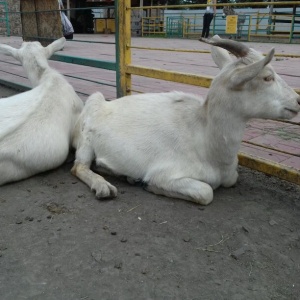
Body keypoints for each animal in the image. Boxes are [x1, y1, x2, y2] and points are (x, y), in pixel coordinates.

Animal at [72, 34, 300, 204]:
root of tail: (103, 103)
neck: (205, 139)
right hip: (86, 139)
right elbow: (206, 192)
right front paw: (150, 186)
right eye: (267, 77)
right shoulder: (166, 173)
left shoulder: (229, 175)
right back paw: (103, 187)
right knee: (79, 167)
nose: (297, 100)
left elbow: (232, 179)